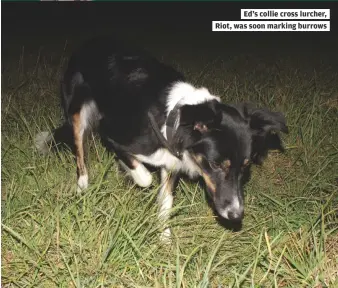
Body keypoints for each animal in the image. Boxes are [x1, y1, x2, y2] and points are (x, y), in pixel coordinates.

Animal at [35, 37, 288, 240]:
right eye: (216, 165)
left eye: (245, 167)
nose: (236, 215)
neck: (171, 118)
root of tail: (88, 44)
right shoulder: (111, 134)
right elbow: (145, 178)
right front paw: (137, 176)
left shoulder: (172, 162)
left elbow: (166, 202)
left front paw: (164, 238)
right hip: (78, 112)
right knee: (80, 154)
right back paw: (83, 186)